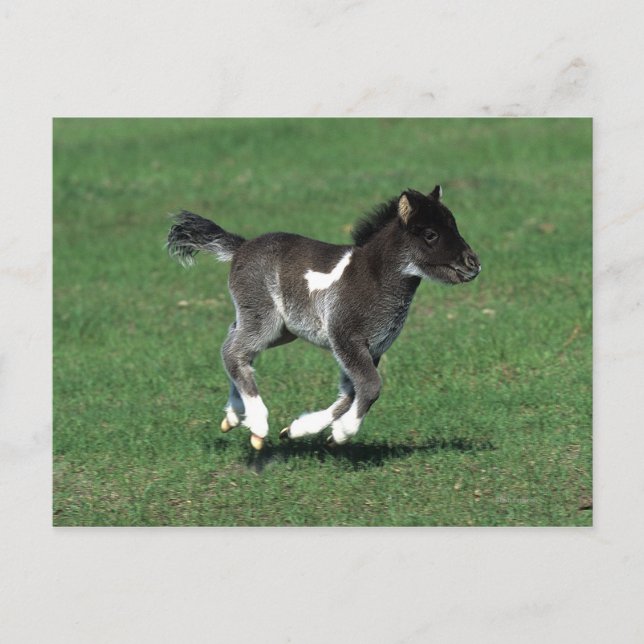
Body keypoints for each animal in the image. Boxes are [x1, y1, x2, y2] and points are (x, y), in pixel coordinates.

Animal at [167, 185, 481, 450]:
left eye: (454, 226)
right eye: (430, 234)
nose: (473, 264)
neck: (374, 278)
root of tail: (241, 247)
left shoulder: (372, 347)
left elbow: (350, 393)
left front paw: (298, 430)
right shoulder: (345, 337)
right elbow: (370, 386)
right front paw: (341, 434)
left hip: (280, 329)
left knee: (235, 344)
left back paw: (234, 416)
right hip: (264, 319)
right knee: (233, 352)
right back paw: (257, 424)